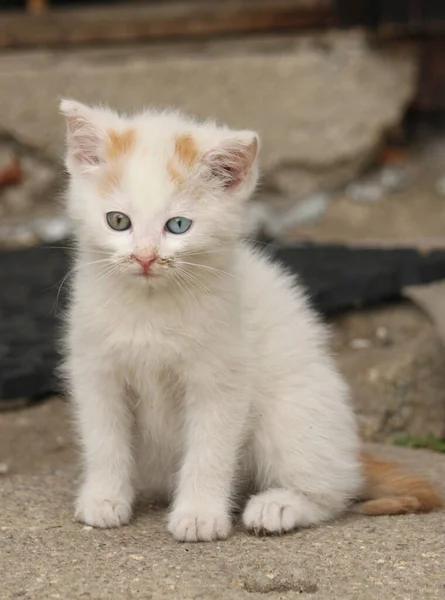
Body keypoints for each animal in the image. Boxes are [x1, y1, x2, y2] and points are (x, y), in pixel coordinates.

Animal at [59, 101, 440, 540]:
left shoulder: (223, 377)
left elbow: (210, 450)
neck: (150, 304)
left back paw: (279, 506)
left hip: (294, 410)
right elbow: (104, 440)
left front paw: (200, 515)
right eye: (118, 221)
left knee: (334, 489)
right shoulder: (96, 371)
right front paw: (105, 499)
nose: (145, 257)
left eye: (178, 226)